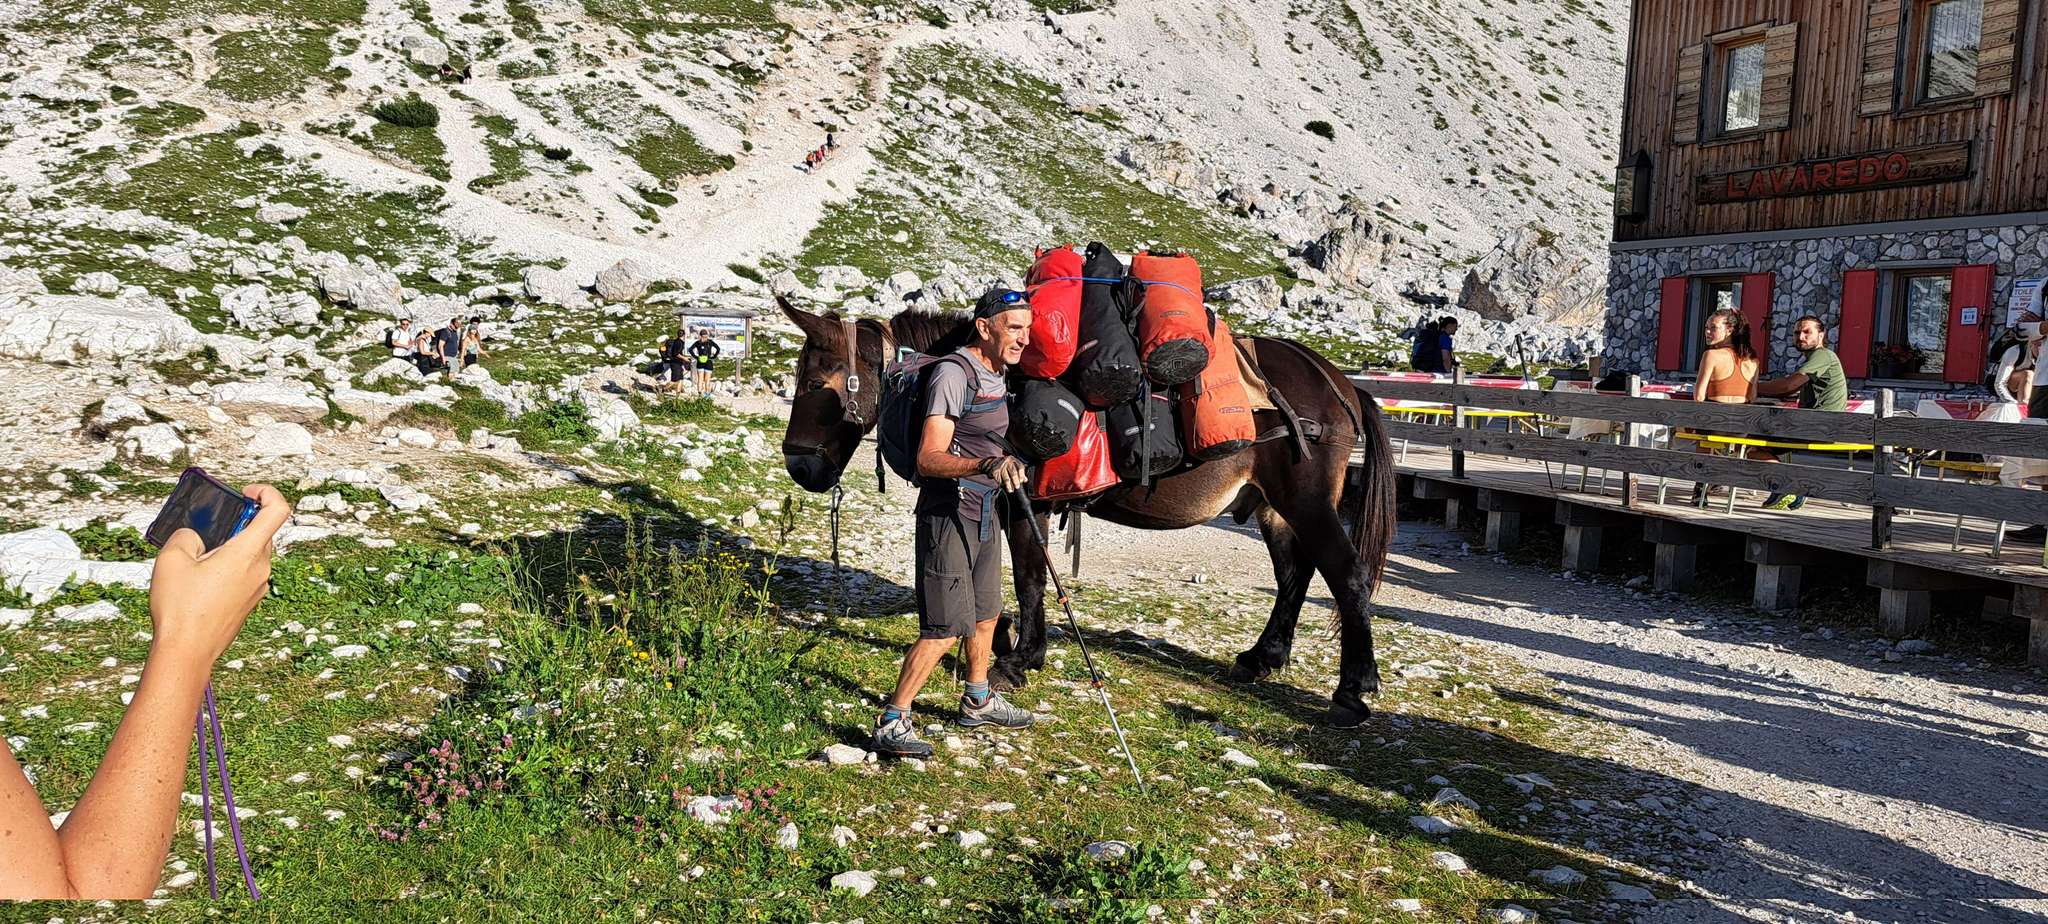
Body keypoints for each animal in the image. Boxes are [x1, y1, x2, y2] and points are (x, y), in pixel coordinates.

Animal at [774, 298, 1398, 727]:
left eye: (816, 383)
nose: (799, 467)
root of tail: (1337, 381)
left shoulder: (1026, 502)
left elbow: (1029, 578)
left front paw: (1020, 658)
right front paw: (1008, 642)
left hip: (1305, 503)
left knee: (1346, 576)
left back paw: (1353, 690)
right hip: (1272, 508)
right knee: (1294, 576)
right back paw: (1261, 657)